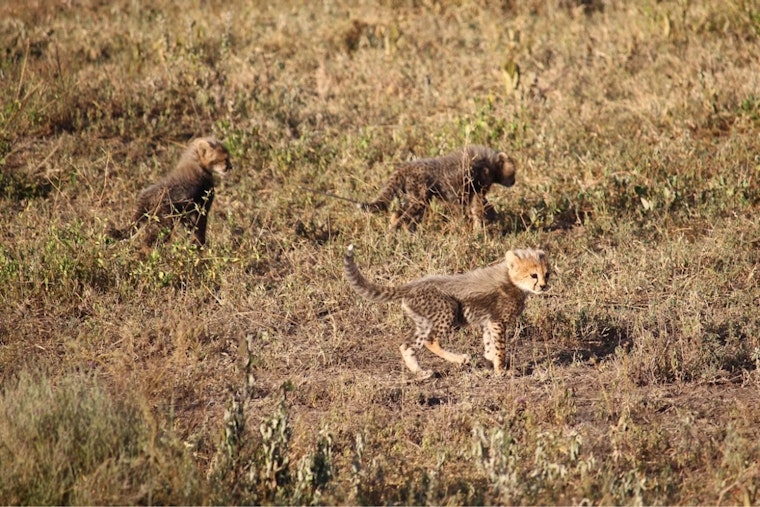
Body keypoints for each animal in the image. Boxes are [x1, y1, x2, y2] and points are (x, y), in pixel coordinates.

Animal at [343, 244, 550, 378]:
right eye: (533, 275)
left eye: (546, 274)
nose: (544, 286)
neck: (513, 280)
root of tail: (413, 285)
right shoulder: (498, 320)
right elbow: (500, 347)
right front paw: (501, 370)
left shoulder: (488, 321)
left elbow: (489, 344)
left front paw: (488, 363)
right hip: (447, 309)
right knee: (430, 340)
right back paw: (460, 359)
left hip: (423, 321)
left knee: (406, 345)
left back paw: (422, 373)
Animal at [357, 145, 517, 231]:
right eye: (513, 171)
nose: (514, 181)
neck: (491, 163)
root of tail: (406, 166)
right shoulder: (475, 190)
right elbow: (479, 208)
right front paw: (480, 229)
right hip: (419, 198)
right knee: (403, 216)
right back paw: (397, 233)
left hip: (413, 197)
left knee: (397, 214)